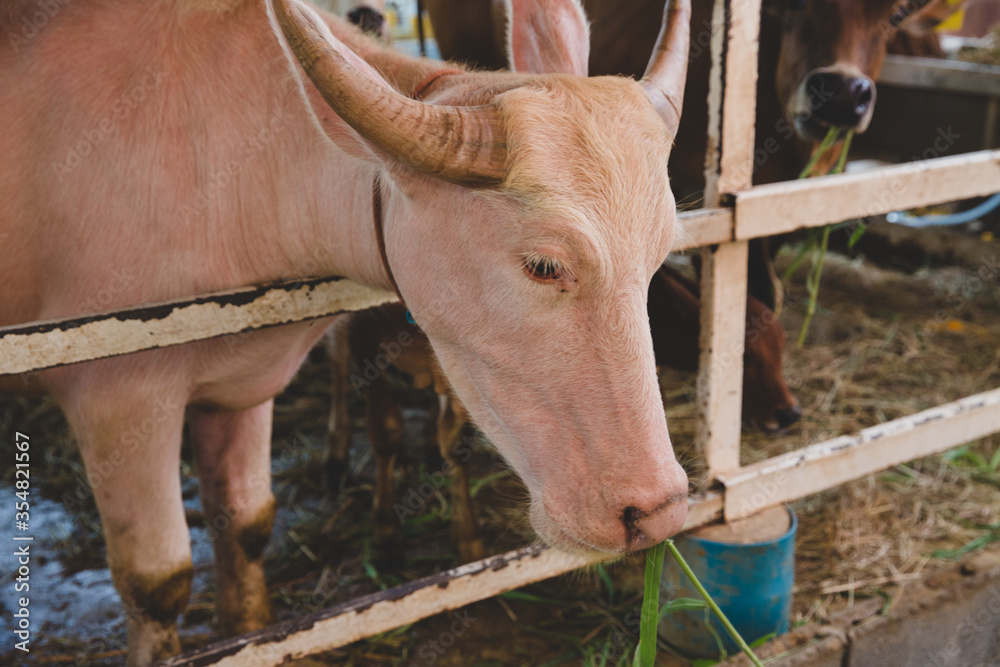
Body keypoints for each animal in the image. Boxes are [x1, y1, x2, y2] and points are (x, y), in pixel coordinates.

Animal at [0, 0, 692, 664]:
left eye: (659, 257)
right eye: (544, 265)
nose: (654, 514)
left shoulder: (242, 385)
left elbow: (246, 524)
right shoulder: (117, 398)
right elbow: (156, 582)